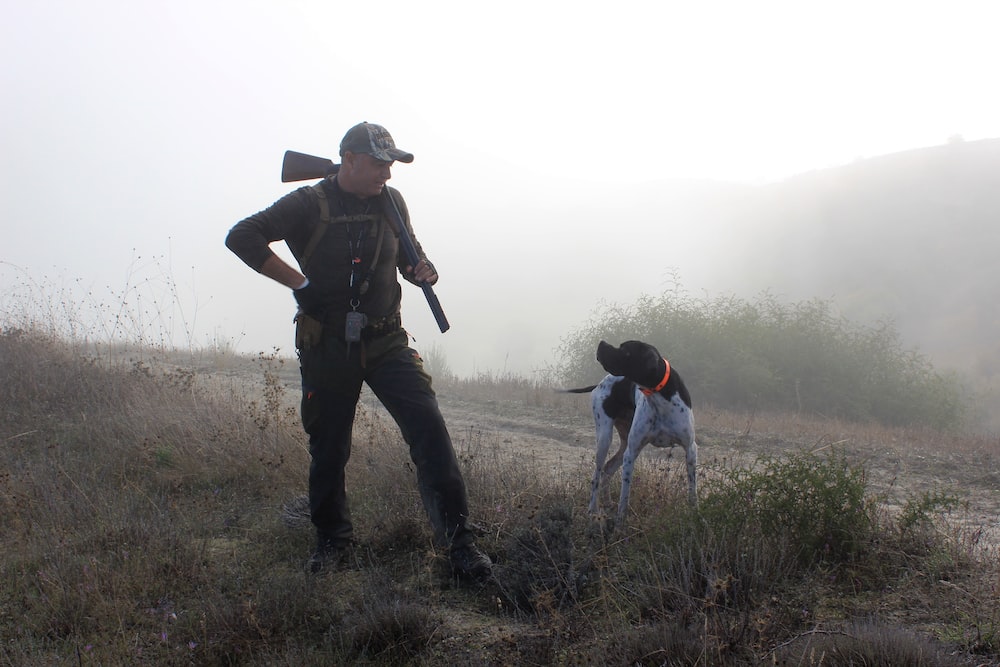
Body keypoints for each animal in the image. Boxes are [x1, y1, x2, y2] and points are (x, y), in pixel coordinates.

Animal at [568, 342, 700, 524]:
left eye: (625, 351)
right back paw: (593, 510)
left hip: (623, 443)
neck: (659, 396)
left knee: (608, 468)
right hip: (605, 439)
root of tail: (600, 383)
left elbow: (692, 490)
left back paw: (607, 502)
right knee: (597, 475)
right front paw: (620, 521)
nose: (601, 343)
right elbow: (625, 495)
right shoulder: (631, 453)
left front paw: (695, 514)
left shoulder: (690, 449)